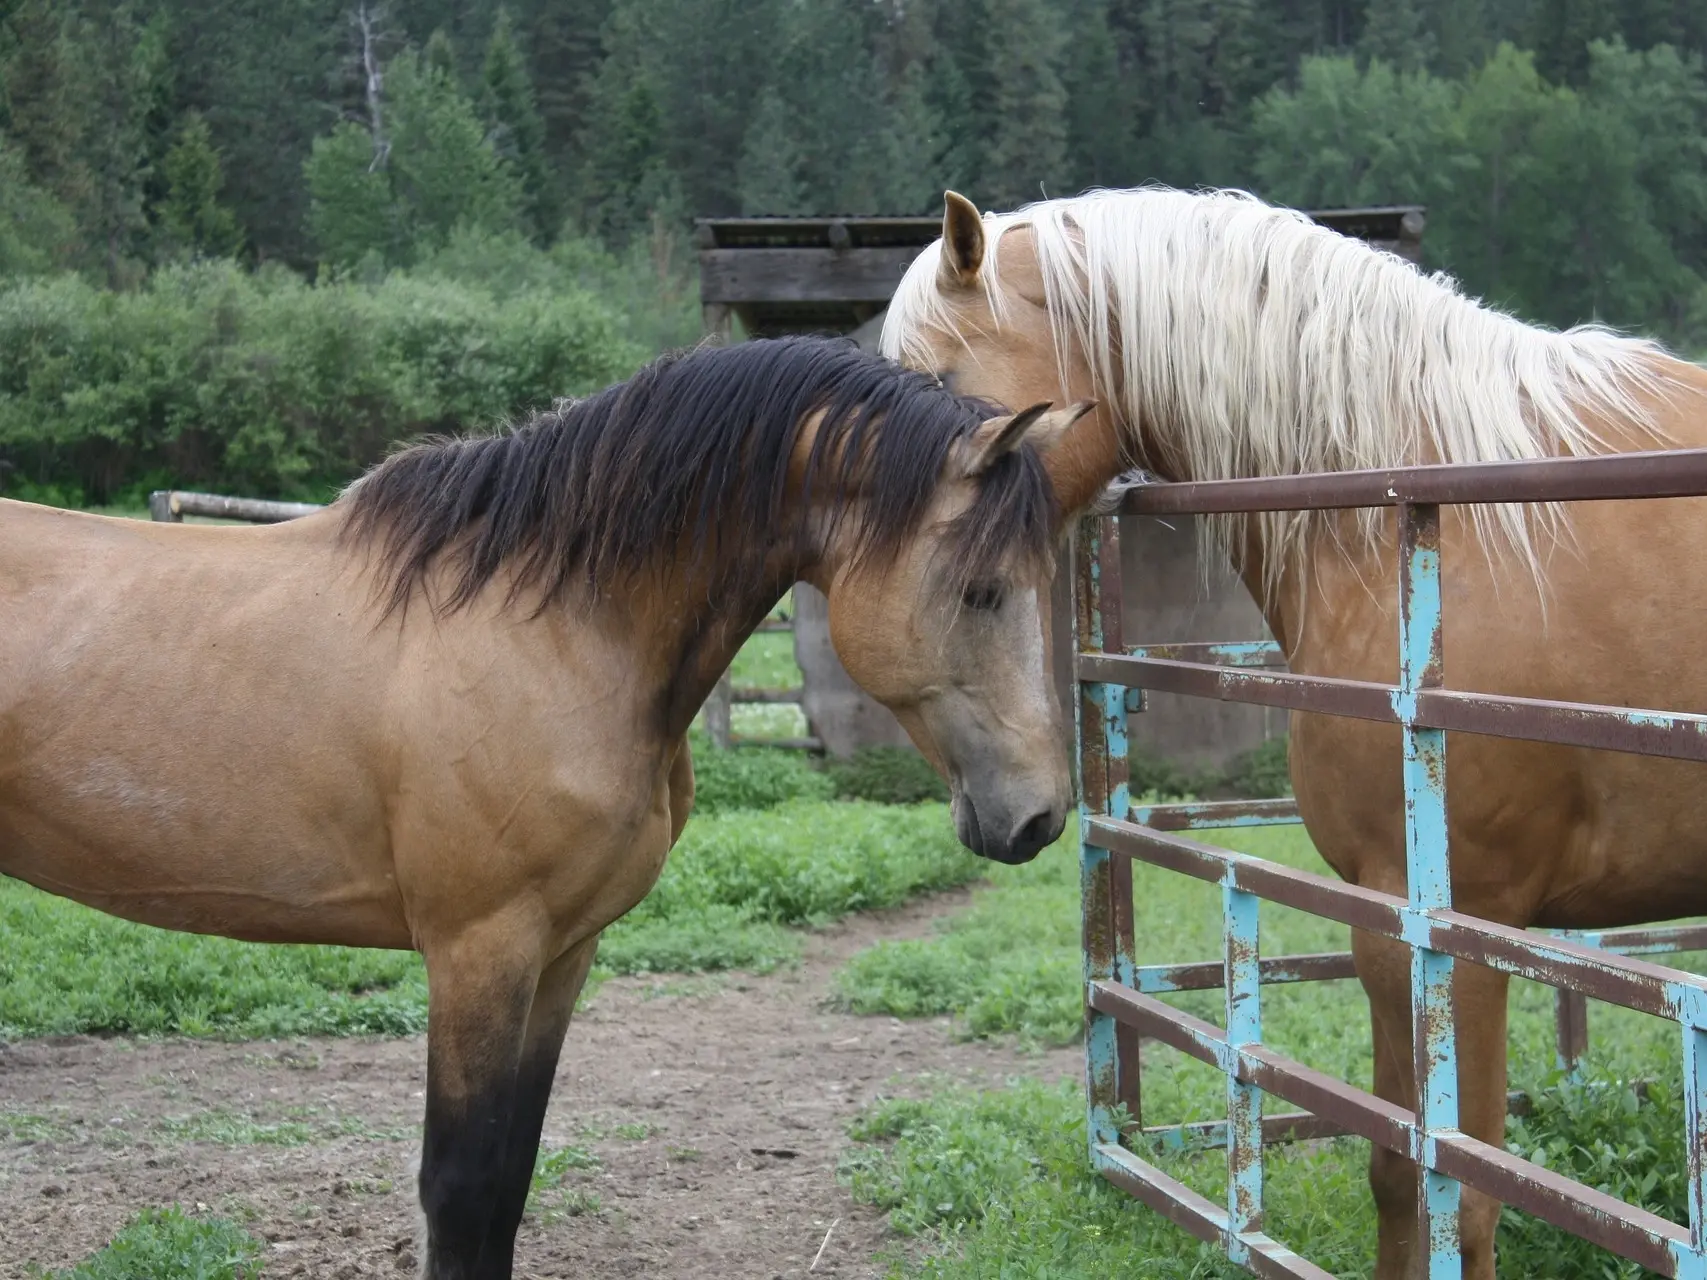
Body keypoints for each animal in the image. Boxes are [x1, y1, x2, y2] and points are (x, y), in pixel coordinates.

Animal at [0, 337, 1092, 1280]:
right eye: (981, 589)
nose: (1038, 815)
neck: (553, 624)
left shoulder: (563, 951)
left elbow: (511, 1179)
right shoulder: (479, 950)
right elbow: (461, 1188)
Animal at [887, 190, 1707, 1280]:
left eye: (940, 389)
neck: (1418, 508)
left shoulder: (1458, 930)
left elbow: (1459, 1185)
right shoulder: (1391, 926)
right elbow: (1398, 1171)